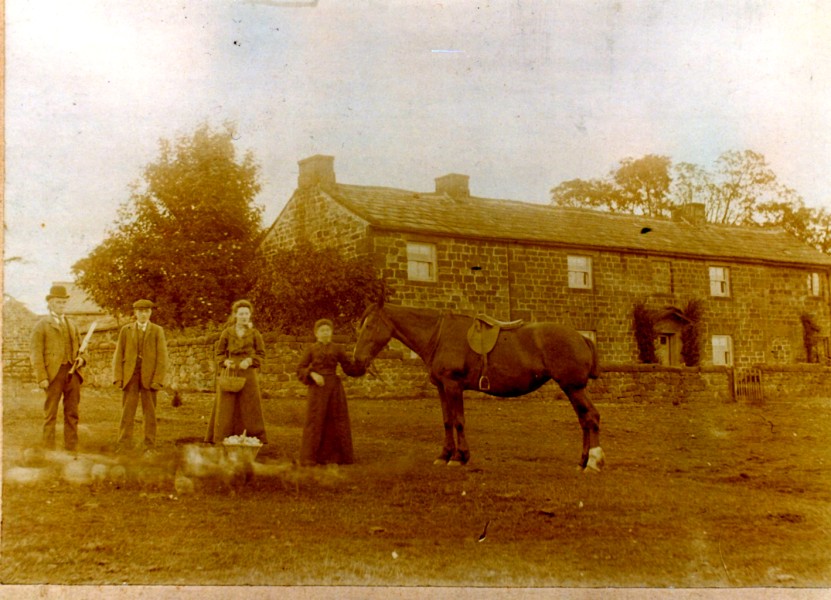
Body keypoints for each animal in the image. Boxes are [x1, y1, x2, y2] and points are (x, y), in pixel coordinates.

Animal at [352, 304, 604, 474]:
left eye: (370, 325)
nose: (357, 360)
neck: (439, 335)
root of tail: (581, 337)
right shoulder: (441, 387)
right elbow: (447, 421)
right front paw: (444, 455)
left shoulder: (453, 385)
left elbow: (458, 421)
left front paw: (459, 457)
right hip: (572, 388)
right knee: (584, 420)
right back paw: (583, 461)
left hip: (573, 387)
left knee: (590, 417)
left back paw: (593, 462)